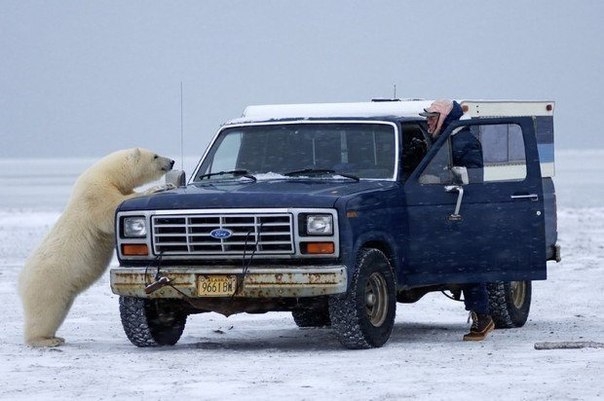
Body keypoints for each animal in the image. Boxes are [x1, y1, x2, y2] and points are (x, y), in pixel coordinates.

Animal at [18, 148, 175, 346]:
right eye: (155, 155)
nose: (171, 162)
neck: (107, 174)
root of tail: (21, 282)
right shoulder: (95, 194)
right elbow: (111, 209)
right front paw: (160, 187)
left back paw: (55, 336)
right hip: (48, 281)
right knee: (45, 311)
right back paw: (45, 340)